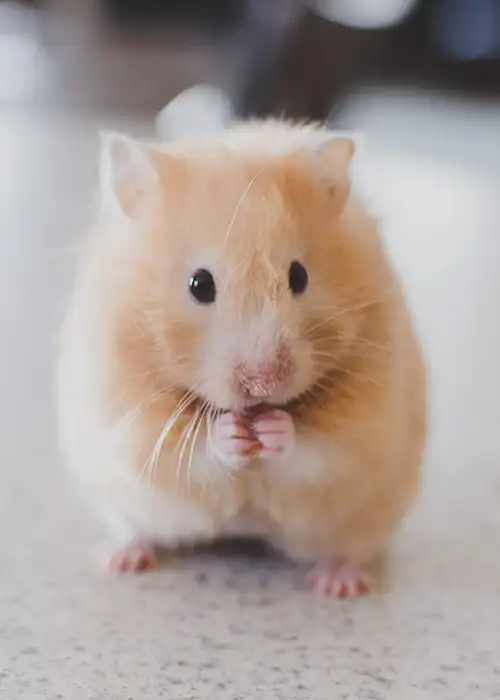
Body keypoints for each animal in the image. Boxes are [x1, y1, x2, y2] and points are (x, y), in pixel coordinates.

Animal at [57, 120, 426, 597]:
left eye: (299, 277)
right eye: (199, 284)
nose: (264, 382)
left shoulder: (366, 422)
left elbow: (319, 448)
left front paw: (273, 430)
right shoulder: (128, 418)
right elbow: (188, 449)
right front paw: (232, 433)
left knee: (347, 549)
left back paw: (338, 585)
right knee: (135, 528)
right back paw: (122, 559)